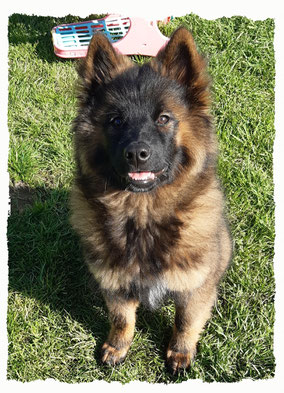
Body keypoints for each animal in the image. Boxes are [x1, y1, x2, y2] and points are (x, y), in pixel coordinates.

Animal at [70, 28, 232, 374]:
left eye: (164, 118)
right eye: (116, 120)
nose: (136, 154)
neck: (143, 215)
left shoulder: (195, 288)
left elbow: (186, 322)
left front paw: (180, 354)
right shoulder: (115, 283)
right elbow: (122, 319)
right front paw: (117, 347)